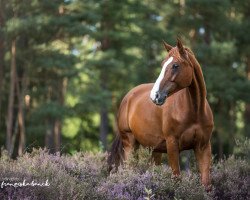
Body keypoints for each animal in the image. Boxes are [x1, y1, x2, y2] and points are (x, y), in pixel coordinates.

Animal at [107, 38, 213, 188]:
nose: (155, 96)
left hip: (155, 150)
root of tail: (128, 97)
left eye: (175, 65)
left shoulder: (203, 147)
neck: (195, 112)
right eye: (163, 64)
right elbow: (176, 178)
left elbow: (206, 183)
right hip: (130, 144)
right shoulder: (172, 145)